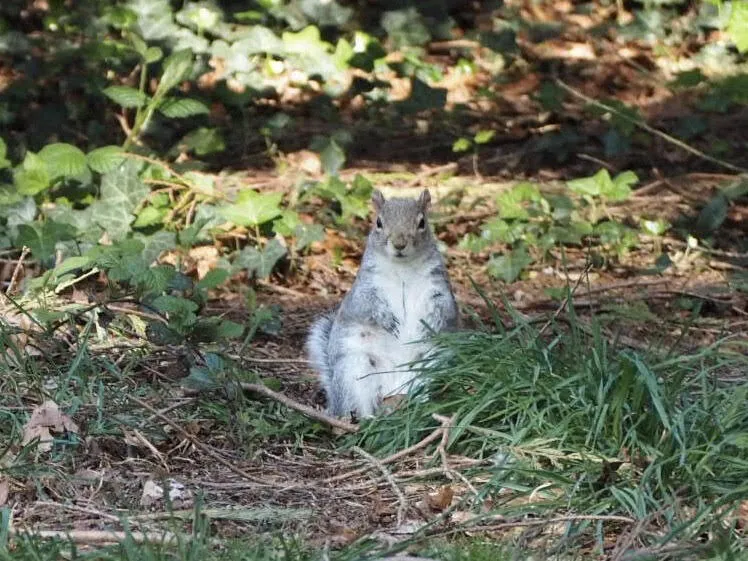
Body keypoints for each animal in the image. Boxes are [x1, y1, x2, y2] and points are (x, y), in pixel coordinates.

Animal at [306, 188, 459, 418]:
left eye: (422, 222)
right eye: (378, 222)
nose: (399, 244)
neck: (403, 267)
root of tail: (393, 390)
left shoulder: (439, 287)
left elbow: (445, 308)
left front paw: (430, 324)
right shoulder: (363, 289)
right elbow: (366, 305)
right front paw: (388, 320)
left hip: (432, 369)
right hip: (354, 370)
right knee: (358, 403)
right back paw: (366, 418)